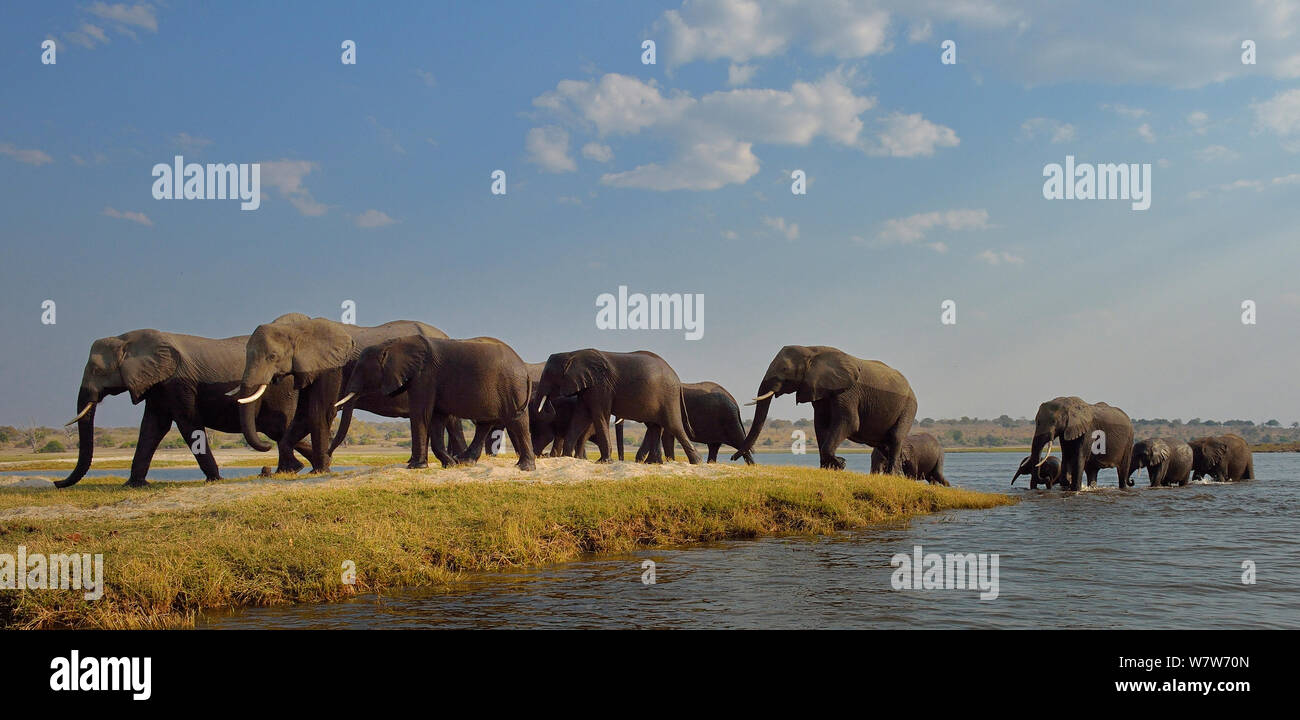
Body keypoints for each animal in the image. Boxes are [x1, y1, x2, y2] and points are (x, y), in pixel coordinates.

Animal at [59, 326, 309, 486]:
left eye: (97, 370)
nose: (57, 482)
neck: (127, 339)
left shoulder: (177, 382)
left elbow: (188, 424)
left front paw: (215, 480)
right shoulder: (157, 385)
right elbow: (152, 428)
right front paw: (133, 485)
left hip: (281, 390)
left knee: (277, 428)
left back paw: (289, 470)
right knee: (278, 431)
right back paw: (297, 468)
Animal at [233, 311, 467, 470]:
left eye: (272, 356)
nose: (265, 445)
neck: (301, 327)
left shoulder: (332, 368)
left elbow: (319, 412)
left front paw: (320, 470)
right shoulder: (311, 368)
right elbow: (302, 415)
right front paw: (291, 470)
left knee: (451, 419)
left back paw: (459, 459)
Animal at [340, 332, 538, 467]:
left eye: (361, 368)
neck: (391, 344)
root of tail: (524, 367)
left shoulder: (425, 376)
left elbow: (421, 413)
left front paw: (416, 467)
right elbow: (436, 417)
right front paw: (449, 464)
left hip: (512, 387)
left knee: (517, 420)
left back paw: (524, 467)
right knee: (485, 423)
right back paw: (465, 461)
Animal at [733, 343, 915, 470]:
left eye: (784, 369)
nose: (732, 458)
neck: (810, 350)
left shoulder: (848, 391)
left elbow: (849, 422)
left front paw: (840, 464)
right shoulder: (818, 388)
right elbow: (820, 424)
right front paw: (828, 468)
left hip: (909, 407)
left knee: (895, 438)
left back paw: (892, 474)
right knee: (884, 445)